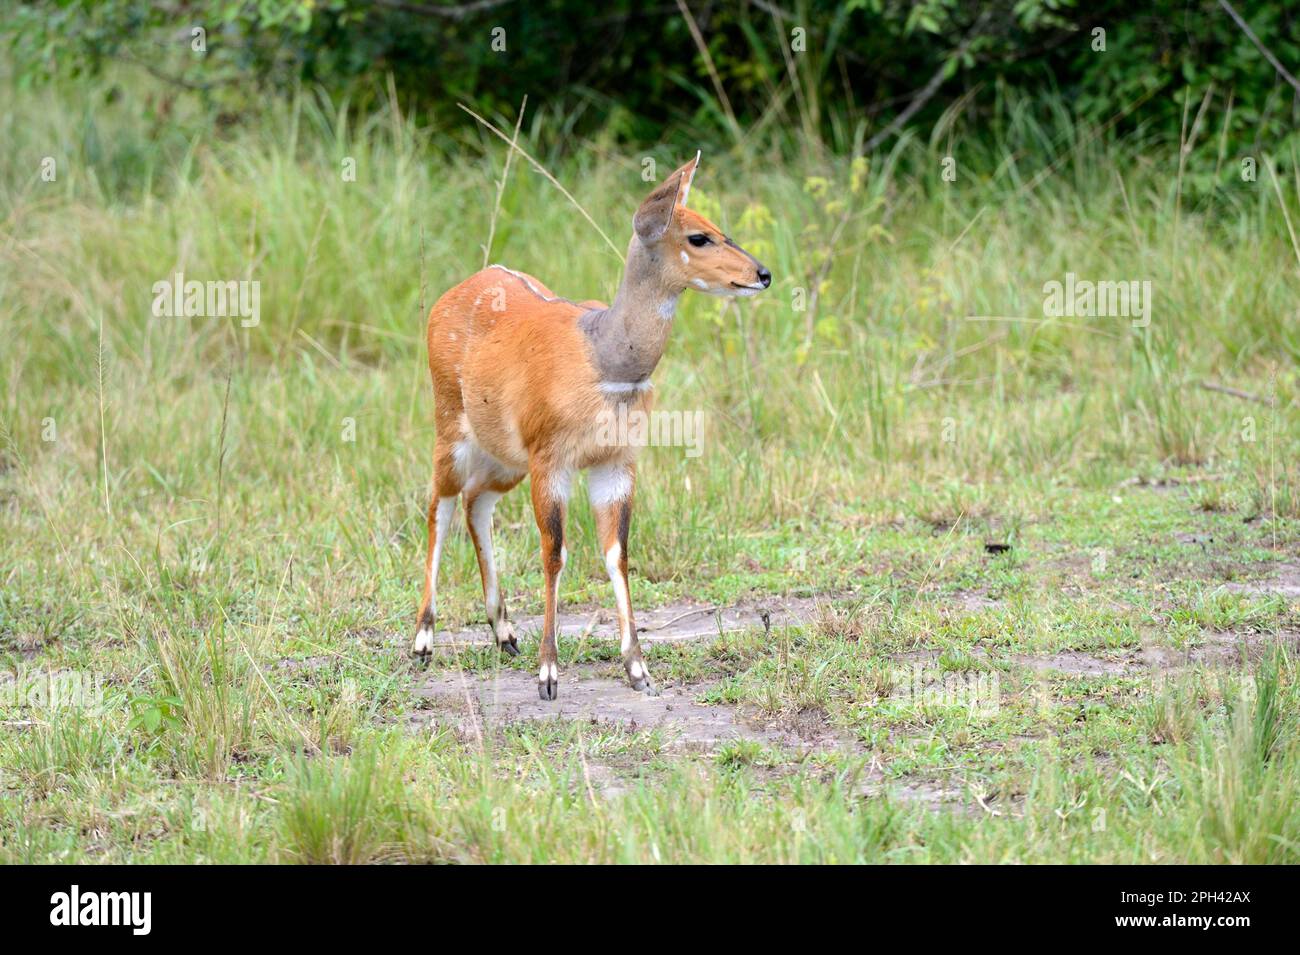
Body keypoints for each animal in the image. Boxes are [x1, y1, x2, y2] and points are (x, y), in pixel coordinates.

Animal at [410, 153, 764, 696]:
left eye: (719, 228)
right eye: (698, 237)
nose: (762, 273)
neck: (608, 361)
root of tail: (449, 296)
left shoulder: (615, 460)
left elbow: (616, 553)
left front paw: (638, 669)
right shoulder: (551, 457)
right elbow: (554, 552)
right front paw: (549, 675)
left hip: (505, 457)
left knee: (476, 502)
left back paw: (504, 632)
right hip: (451, 424)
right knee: (440, 504)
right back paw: (423, 641)